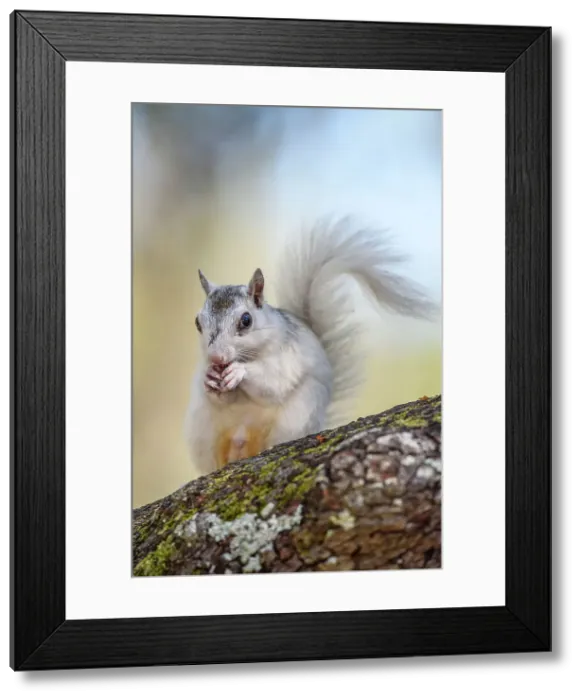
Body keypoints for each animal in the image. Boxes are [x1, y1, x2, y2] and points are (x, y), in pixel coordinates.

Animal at [184, 216, 436, 476]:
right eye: (197, 322)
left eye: (246, 320)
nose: (216, 358)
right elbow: (221, 398)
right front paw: (209, 378)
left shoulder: (287, 358)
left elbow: (273, 383)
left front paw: (238, 371)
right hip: (204, 432)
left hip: (294, 419)